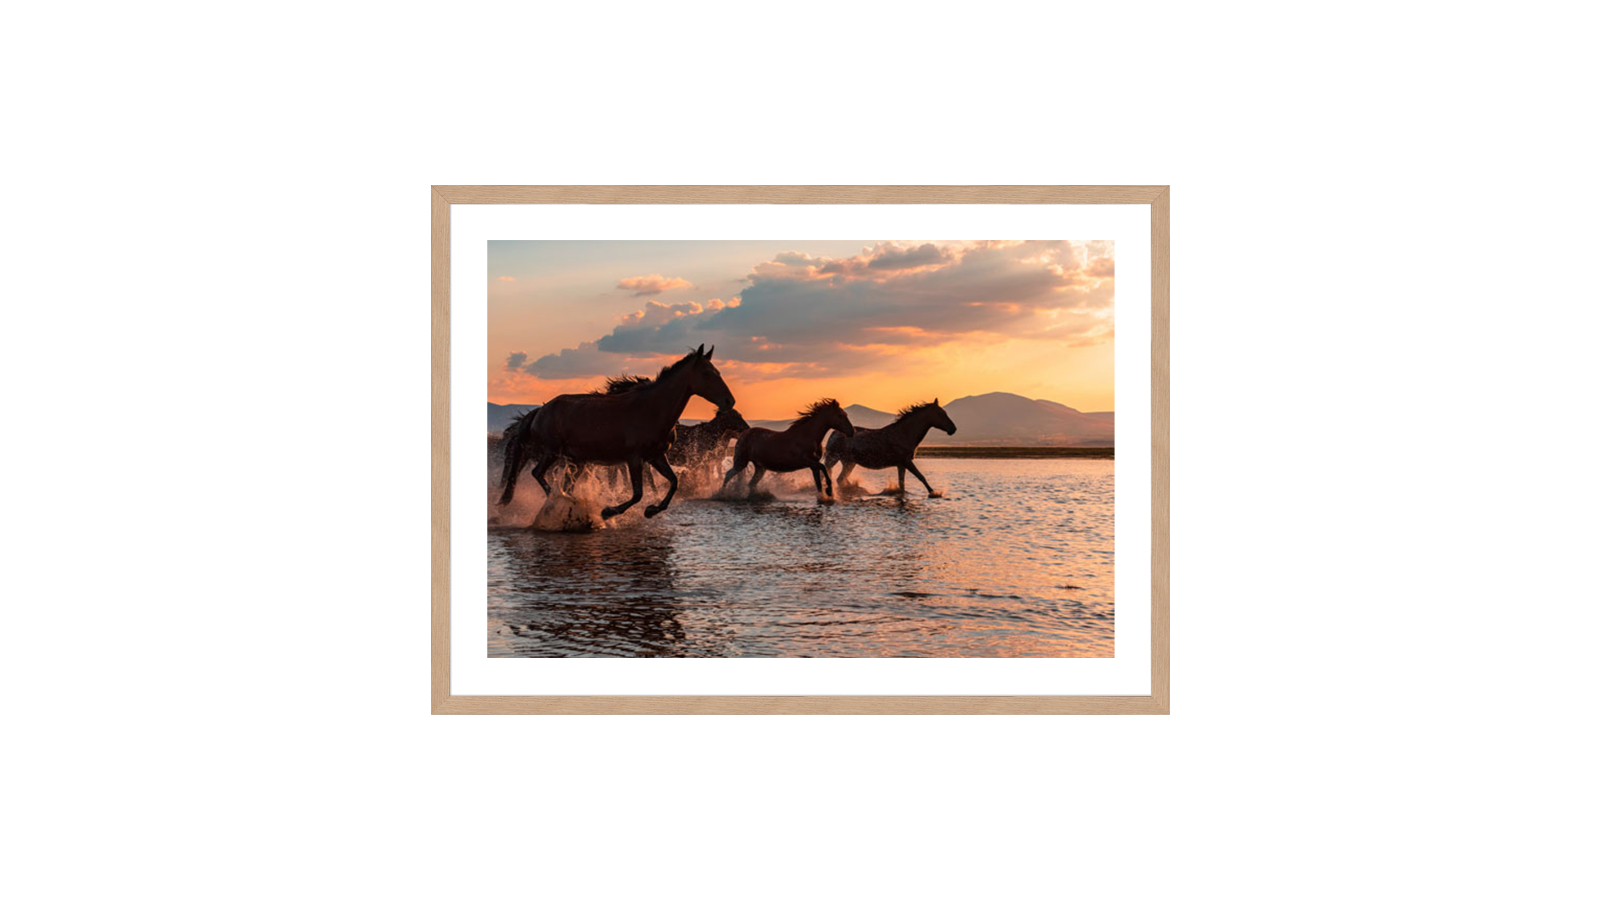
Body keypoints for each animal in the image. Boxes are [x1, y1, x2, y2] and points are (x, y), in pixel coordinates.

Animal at [498, 344, 734, 519]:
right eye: (707, 373)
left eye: (718, 372)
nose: (729, 401)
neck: (651, 409)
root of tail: (540, 410)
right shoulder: (634, 458)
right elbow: (638, 493)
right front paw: (609, 511)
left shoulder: (656, 456)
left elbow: (673, 482)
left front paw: (651, 510)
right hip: (552, 452)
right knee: (538, 473)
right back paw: (560, 501)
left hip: (576, 460)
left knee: (562, 483)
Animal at [722, 399, 855, 500]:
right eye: (840, 415)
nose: (852, 431)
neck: (808, 436)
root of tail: (743, 435)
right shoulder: (808, 462)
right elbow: (823, 467)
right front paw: (829, 491)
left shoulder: (813, 465)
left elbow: (818, 482)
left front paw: (824, 496)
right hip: (741, 462)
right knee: (729, 474)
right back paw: (722, 494)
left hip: (760, 467)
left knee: (751, 484)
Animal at [823, 399, 957, 497]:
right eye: (940, 413)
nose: (953, 429)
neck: (905, 433)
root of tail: (833, 433)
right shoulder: (906, 461)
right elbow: (921, 477)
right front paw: (934, 493)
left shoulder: (901, 464)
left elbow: (902, 485)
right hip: (835, 459)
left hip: (849, 462)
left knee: (840, 479)